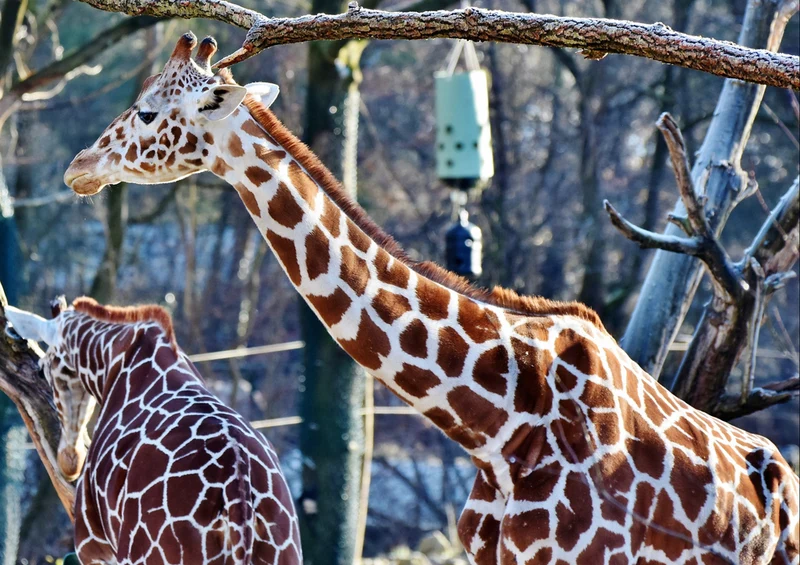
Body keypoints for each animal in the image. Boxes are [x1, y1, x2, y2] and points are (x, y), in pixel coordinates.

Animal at [5, 297, 302, 565]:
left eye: (43, 369)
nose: (69, 462)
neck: (116, 356)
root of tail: (237, 494)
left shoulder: (93, 545)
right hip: (284, 553)